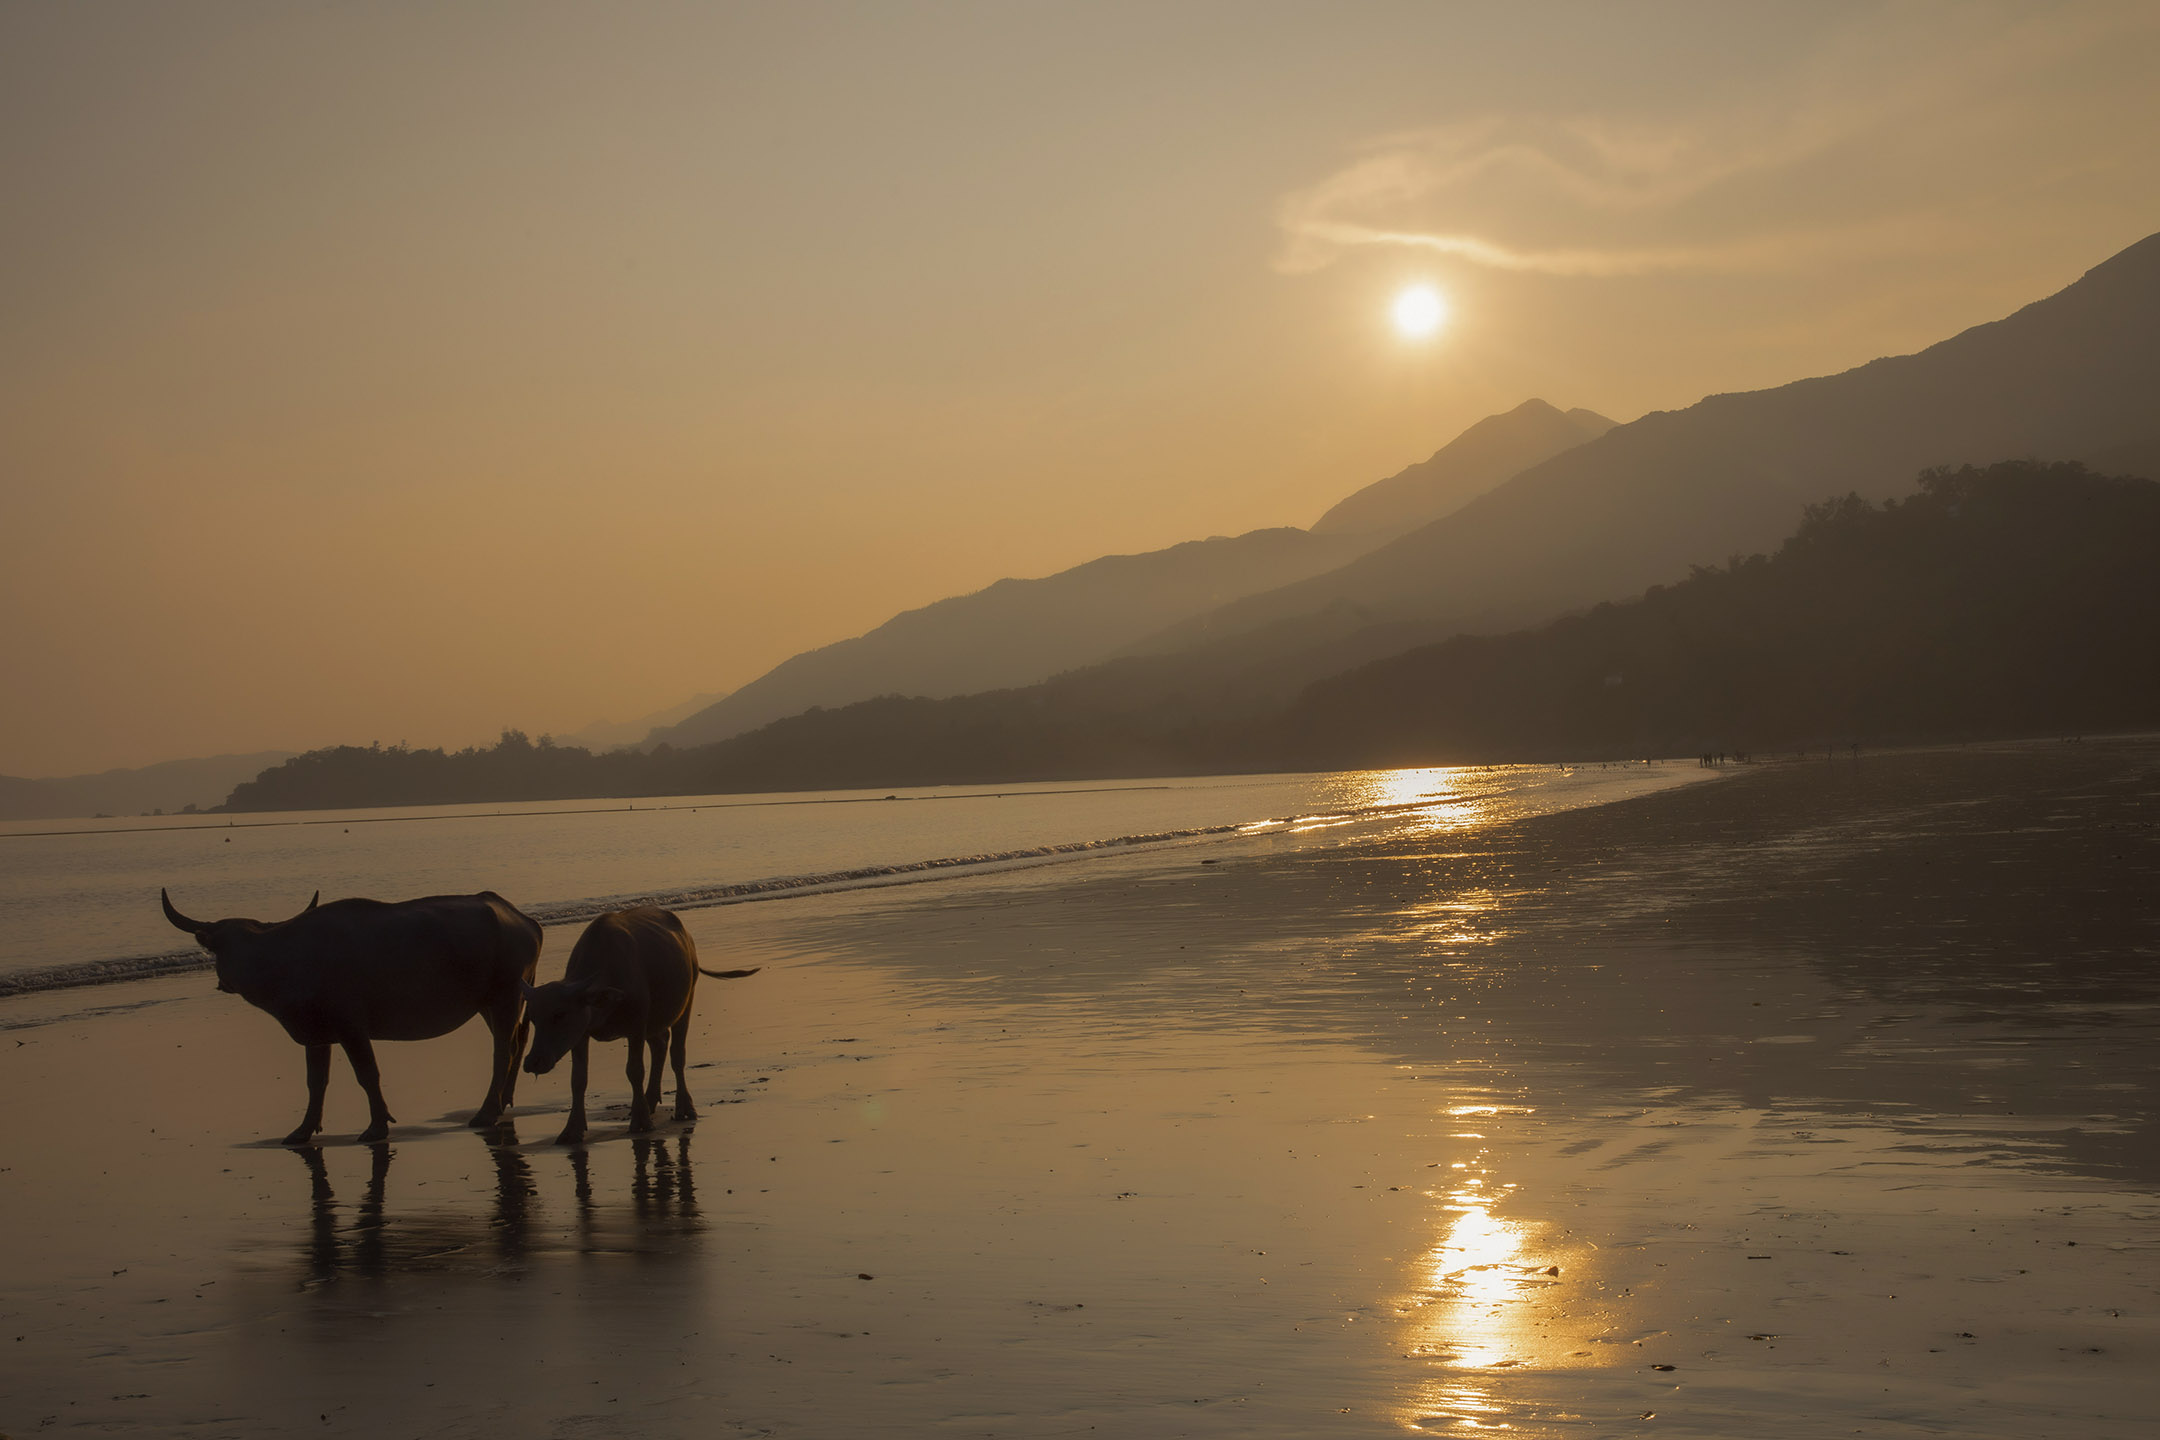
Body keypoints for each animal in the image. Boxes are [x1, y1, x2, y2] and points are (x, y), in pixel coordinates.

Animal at [159, 885, 544, 1139]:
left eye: (243, 944)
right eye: (221, 945)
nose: (230, 979)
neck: (291, 958)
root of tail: (521, 919)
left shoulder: (352, 1029)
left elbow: (367, 1074)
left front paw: (376, 1125)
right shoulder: (316, 1034)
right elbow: (316, 1082)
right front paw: (303, 1130)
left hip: (505, 997)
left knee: (503, 1051)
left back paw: (486, 1112)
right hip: (489, 1004)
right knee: (516, 1042)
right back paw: (502, 1101)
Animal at [522, 911, 760, 1148]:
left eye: (559, 1014)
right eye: (532, 1018)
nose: (533, 1061)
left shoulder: (636, 1026)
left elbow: (634, 1070)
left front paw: (640, 1121)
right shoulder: (581, 1034)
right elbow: (578, 1080)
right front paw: (572, 1130)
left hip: (685, 1004)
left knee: (677, 1056)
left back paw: (684, 1108)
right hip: (654, 1022)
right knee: (660, 1044)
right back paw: (651, 1099)